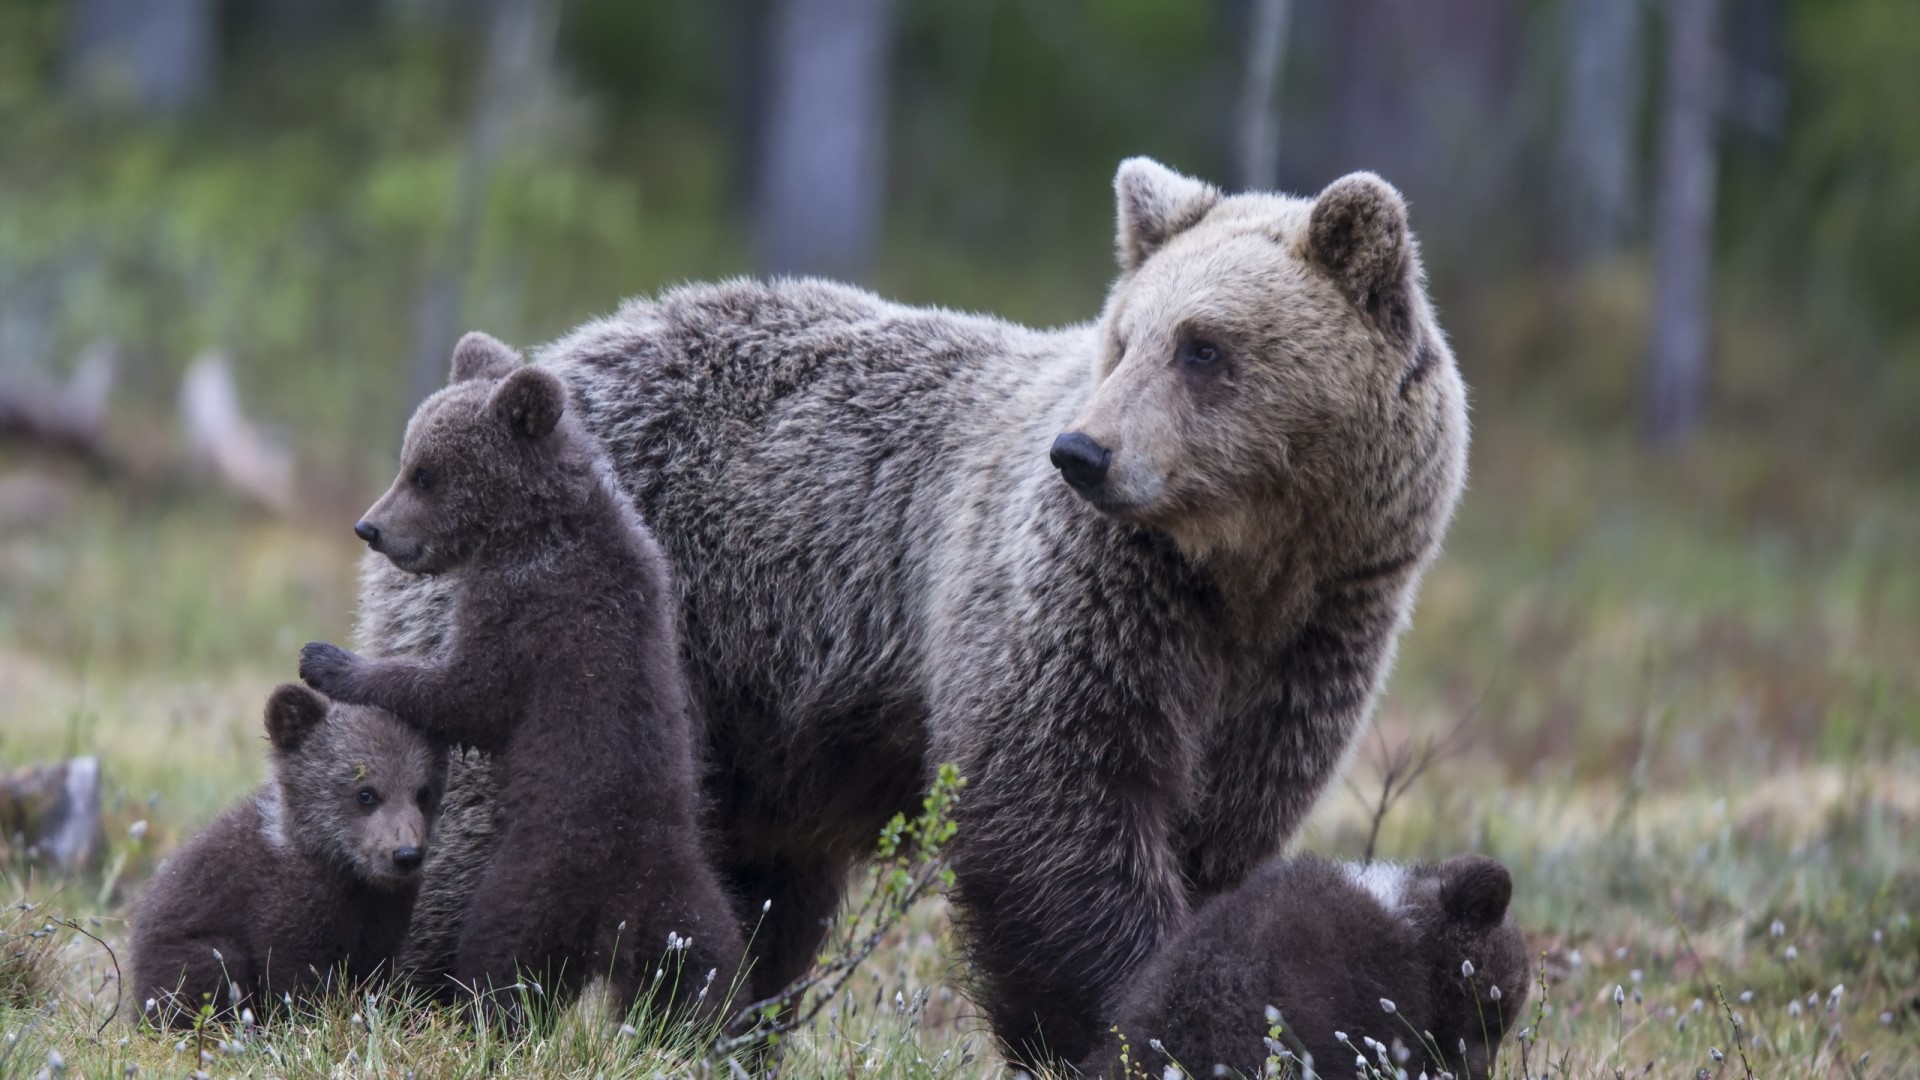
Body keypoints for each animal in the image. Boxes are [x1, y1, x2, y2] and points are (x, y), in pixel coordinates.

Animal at [130, 684, 445, 1028]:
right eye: (366, 793)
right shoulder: (281, 905)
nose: (406, 855)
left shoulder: (384, 914)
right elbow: (295, 974)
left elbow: (376, 970)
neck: (348, 873)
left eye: (423, 792)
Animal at [298, 333, 745, 1026]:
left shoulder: (529, 611)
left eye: (424, 472)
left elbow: (467, 693)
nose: (369, 527)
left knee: (499, 955)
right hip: (689, 904)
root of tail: (620, 914)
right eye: (408, 459)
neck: (534, 526)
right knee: (712, 974)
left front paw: (329, 660)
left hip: (534, 879)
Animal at [360, 157, 1469, 1066]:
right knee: (477, 810)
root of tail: (543, 355)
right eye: (1125, 338)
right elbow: (1058, 809)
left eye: (1204, 346)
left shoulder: (1305, 647)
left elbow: (1217, 835)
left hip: (753, 726)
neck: (1242, 571)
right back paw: (417, 998)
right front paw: (1123, 1020)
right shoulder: (1081, 605)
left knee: (758, 892)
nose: (1084, 453)